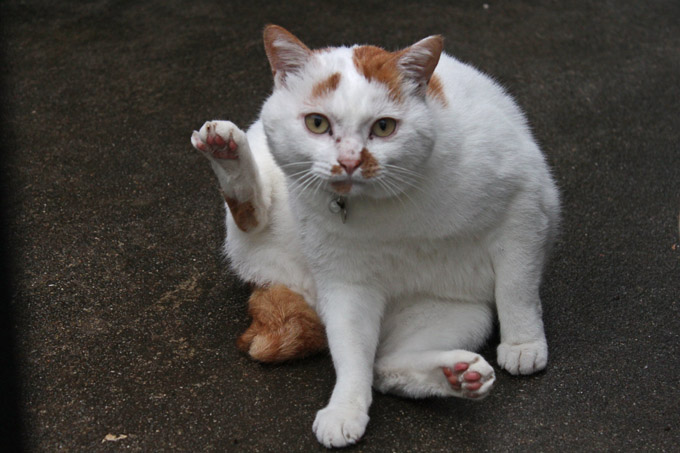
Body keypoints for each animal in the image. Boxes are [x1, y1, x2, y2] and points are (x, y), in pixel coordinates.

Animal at [190, 25, 556, 448]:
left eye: (383, 127)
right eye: (317, 123)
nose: (349, 161)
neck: (386, 211)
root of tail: (286, 287)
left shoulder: (523, 210)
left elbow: (517, 289)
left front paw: (523, 344)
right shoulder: (345, 284)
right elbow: (351, 355)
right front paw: (345, 409)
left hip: (462, 312)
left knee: (385, 366)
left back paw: (456, 376)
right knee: (254, 216)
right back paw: (227, 153)